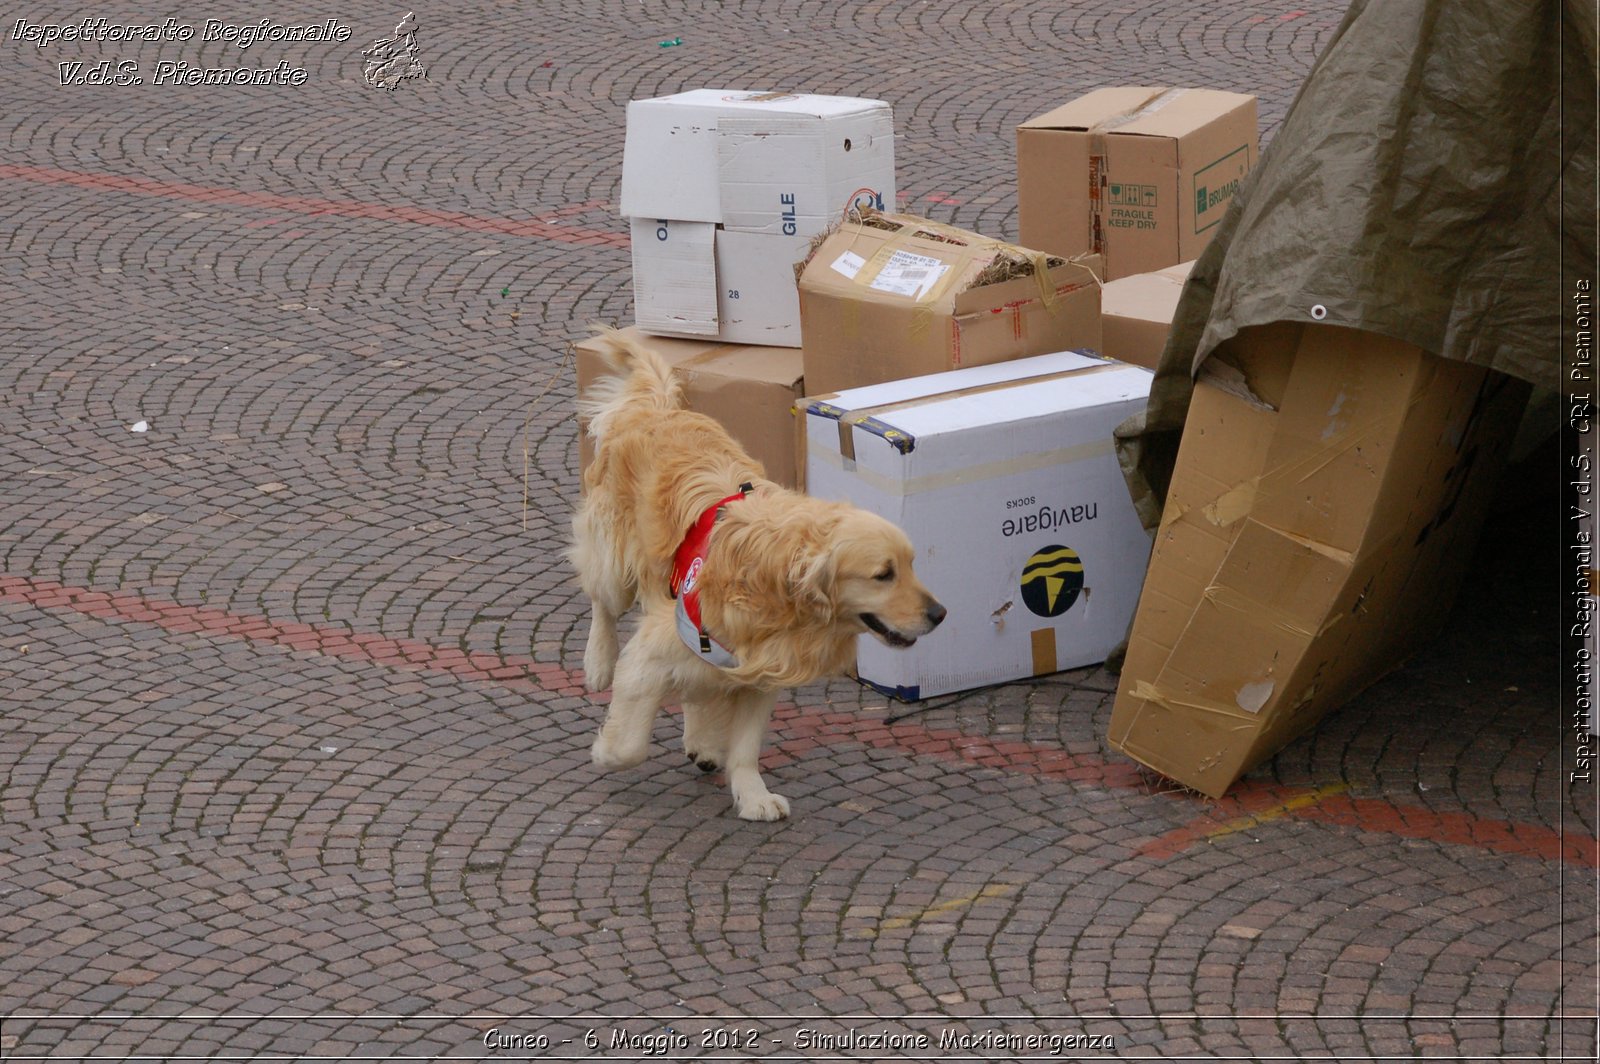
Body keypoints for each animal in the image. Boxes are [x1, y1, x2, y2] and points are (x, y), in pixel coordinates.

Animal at [576, 328, 940, 816]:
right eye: (884, 574)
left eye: (912, 565)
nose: (940, 614)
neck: (774, 582)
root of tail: (659, 408)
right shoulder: (656, 647)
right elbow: (631, 743)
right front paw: (606, 750)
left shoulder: (764, 670)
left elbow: (746, 747)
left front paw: (752, 796)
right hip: (614, 558)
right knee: (602, 601)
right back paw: (597, 662)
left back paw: (702, 742)